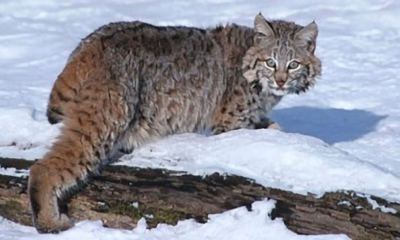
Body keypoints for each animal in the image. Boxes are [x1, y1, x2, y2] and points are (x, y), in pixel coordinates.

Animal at [28, 12, 322, 232]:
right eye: (271, 62)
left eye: (294, 64)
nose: (281, 81)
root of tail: (93, 40)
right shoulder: (229, 124)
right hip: (108, 119)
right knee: (45, 166)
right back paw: (49, 223)